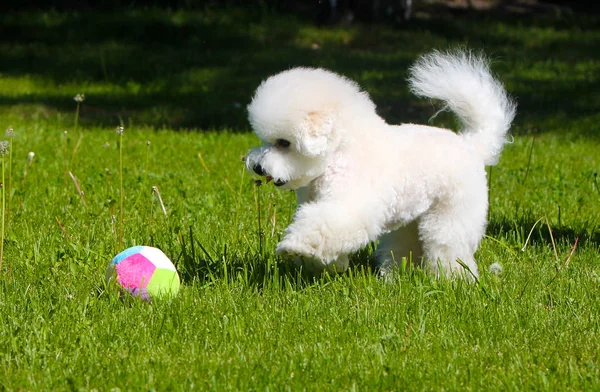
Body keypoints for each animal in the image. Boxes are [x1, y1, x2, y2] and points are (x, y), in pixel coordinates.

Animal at [244, 50, 516, 280]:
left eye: (284, 143)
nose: (257, 166)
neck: (340, 154)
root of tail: (472, 145)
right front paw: (325, 264)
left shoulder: (348, 206)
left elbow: (323, 225)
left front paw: (294, 247)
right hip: (412, 218)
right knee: (407, 245)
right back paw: (394, 276)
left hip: (452, 214)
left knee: (448, 246)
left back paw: (454, 280)